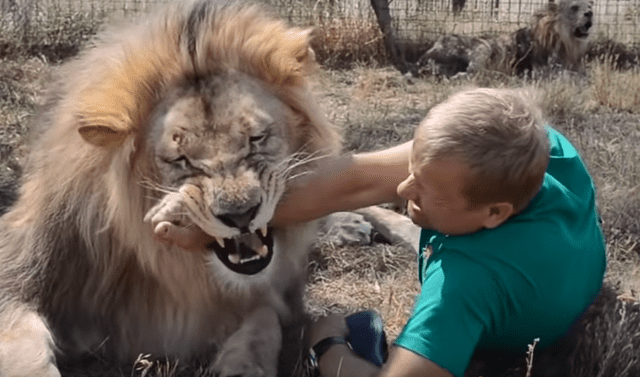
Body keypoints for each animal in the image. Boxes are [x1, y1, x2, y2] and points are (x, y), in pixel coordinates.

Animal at [0, 0, 342, 376]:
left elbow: (265, 321)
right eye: (181, 160)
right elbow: (24, 346)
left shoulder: (274, 298)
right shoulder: (22, 268)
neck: (174, 269)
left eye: (256, 139)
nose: (240, 216)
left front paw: (243, 365)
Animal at [418, 0, 592, 77]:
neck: (567, 41)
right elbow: (571, 75)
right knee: (469, 73)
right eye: (574, 7)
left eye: (590, 6)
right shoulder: (542, 71)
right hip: (483, 46)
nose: (590, 13)